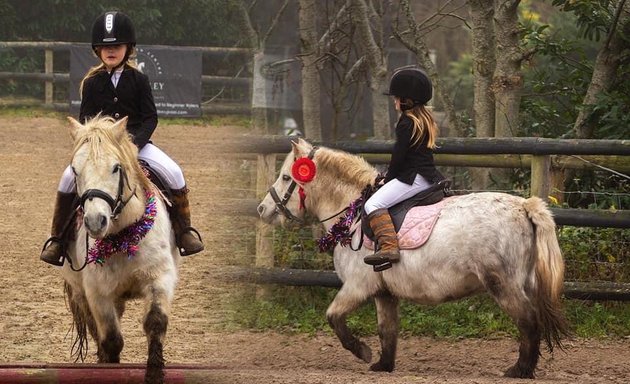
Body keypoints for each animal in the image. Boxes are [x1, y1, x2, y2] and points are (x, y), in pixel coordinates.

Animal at [256, 138, 572, 378]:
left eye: (286, 177)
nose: (262, 209)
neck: (352, 213)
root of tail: (524, 206)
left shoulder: (357, 287)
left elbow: (333, 317)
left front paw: (362, 351)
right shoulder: (383, 293)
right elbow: (387, 330)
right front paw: (383, 365)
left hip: (503, 285)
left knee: (528, 321)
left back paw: (520, 370)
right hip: (525, 283)